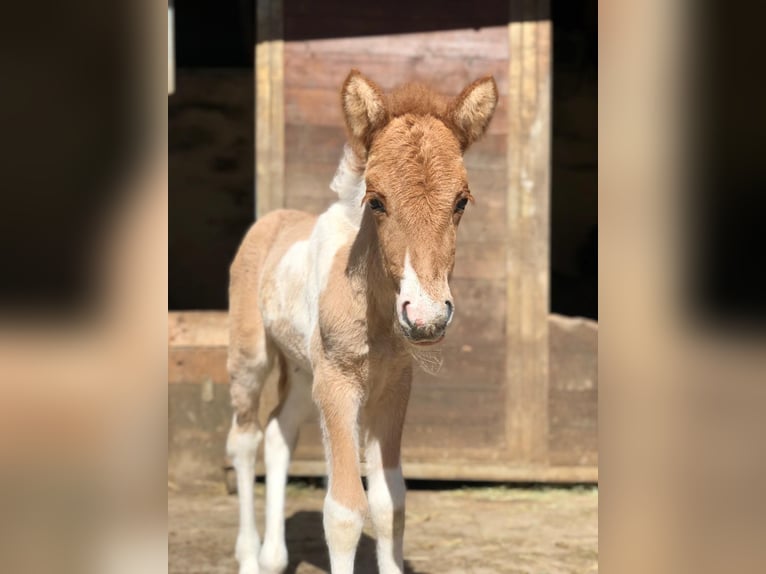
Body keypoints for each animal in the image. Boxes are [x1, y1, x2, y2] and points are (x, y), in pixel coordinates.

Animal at [226, 69, 498, 574]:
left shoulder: (394, 387)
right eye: (376, 201)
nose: (426, 316)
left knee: (277, 433)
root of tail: (272, 219)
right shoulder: (337, 384)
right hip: (251, 357)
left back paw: (273, 557)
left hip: (302, 369)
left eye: (461, 202)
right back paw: (249, 556)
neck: (375, 312)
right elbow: (345, 510)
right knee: (245, 439)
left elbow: (391, 502)